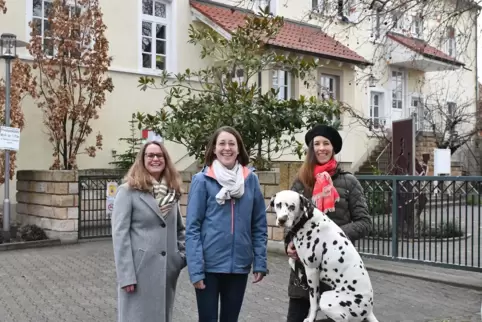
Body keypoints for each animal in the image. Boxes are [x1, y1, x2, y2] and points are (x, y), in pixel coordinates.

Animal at [270, 191, 378, 322]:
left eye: (292, 206)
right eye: (278, 204)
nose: (282, 220)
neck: (306, 220)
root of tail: (369, 309)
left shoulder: (312, 271)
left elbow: (313, 302)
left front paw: (311, 318)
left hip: (327, 300)